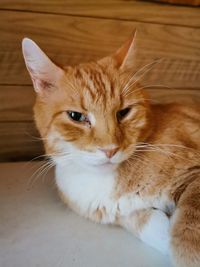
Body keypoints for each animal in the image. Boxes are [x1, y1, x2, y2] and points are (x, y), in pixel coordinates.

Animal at [21, 34, 200, 267]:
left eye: (124, 112)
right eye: (76, 116)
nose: (110, 150)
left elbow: (186, 234)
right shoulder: (120, 213)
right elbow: (150, 226)